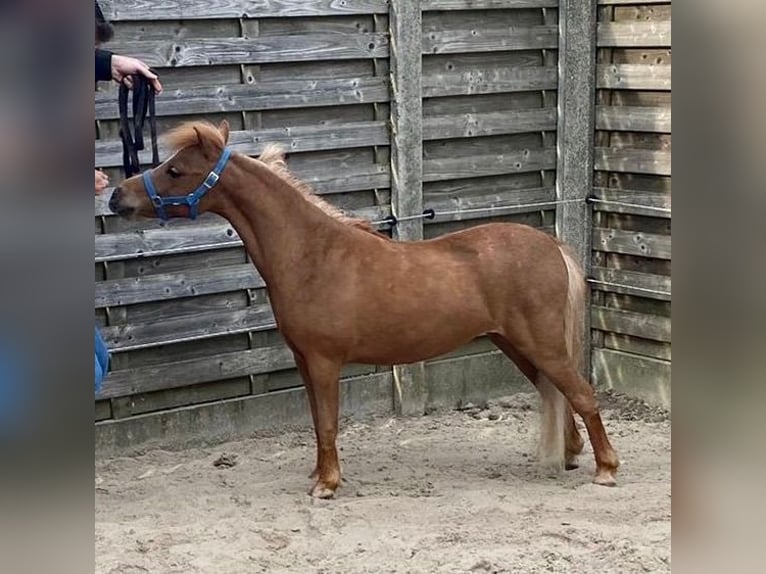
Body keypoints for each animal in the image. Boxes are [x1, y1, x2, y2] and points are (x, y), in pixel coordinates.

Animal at [108, 121, 620, 500]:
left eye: (176, 170)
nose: (117, 197)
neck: (313, 254)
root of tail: (553, 245)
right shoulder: (304, 361)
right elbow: (318, 423)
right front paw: (318, 475)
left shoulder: (324, 362)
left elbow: (329, 422)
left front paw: (327, 486)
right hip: (516, 345)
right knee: (560, 393)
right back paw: (571, 456)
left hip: (540, 343)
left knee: (582, 394)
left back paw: (606, 469)